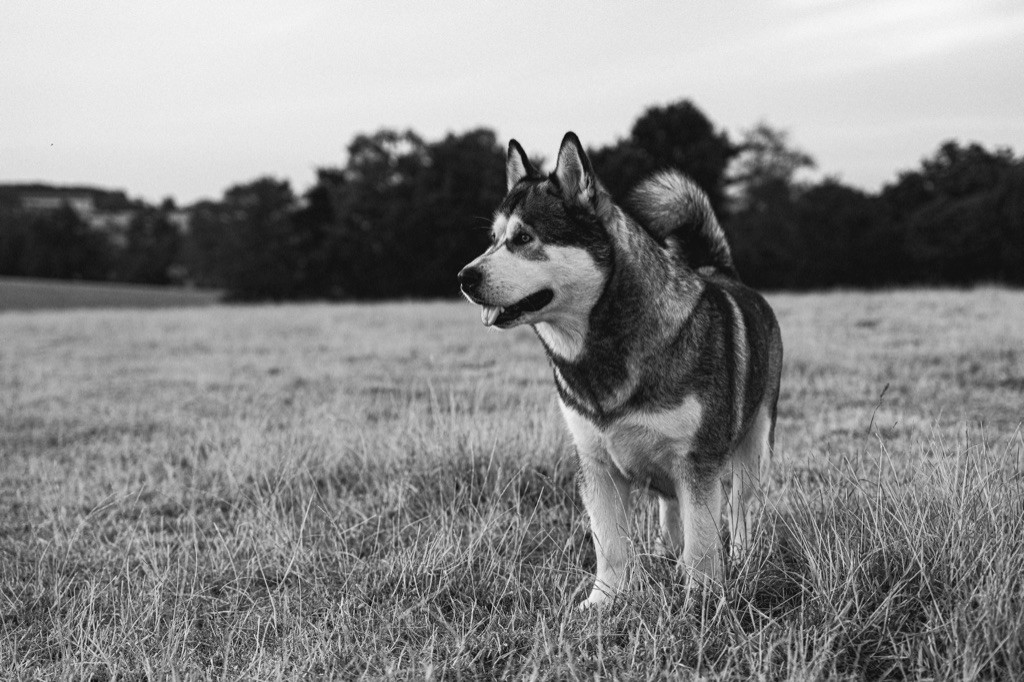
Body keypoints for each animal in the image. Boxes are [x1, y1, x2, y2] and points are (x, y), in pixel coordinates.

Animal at [458, 131, 782, 606]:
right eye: (494, 239)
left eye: (523, 237)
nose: (464, 277)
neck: (600, 348)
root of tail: (721, 271)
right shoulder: (595, 463)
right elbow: (608, 542)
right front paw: (603, 602)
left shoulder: (697, 462)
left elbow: (704, 540)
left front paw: (702, 599)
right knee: (670, 508)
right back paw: (668, 556)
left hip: (753, 450)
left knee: (741, 509)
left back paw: (741, 558)